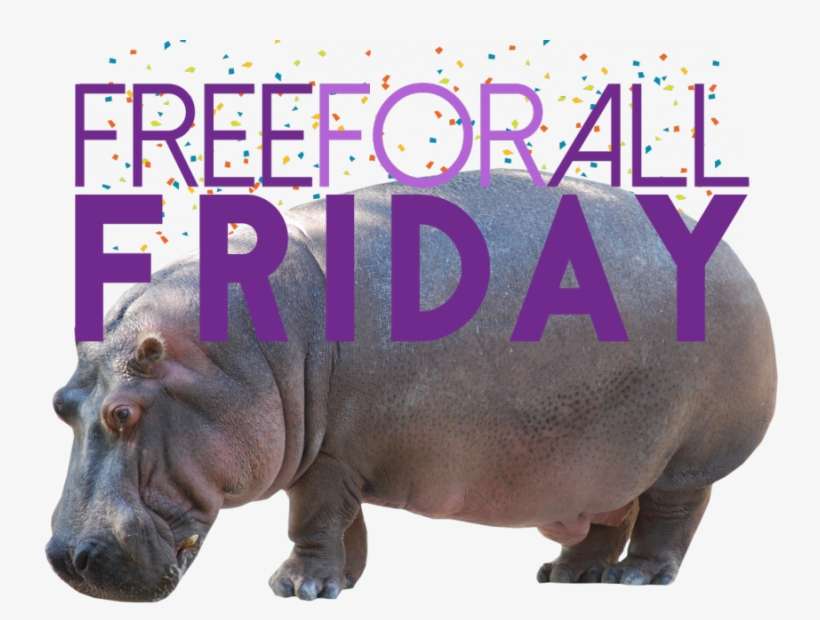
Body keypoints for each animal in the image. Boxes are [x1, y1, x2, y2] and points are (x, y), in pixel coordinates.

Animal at [47, 170, 776, 601]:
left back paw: (637, 578)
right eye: (61, 405)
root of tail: (732, 256)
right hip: (604, 460)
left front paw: (293, 589)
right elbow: (343, 525)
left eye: (122, 414)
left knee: (670, 516)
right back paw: (568, 576)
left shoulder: (330, 458)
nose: (66, 558)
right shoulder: (337, 454)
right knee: (607, 516)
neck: (228, 356)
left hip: (687, 457)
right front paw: (337, 584)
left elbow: (313, 518)